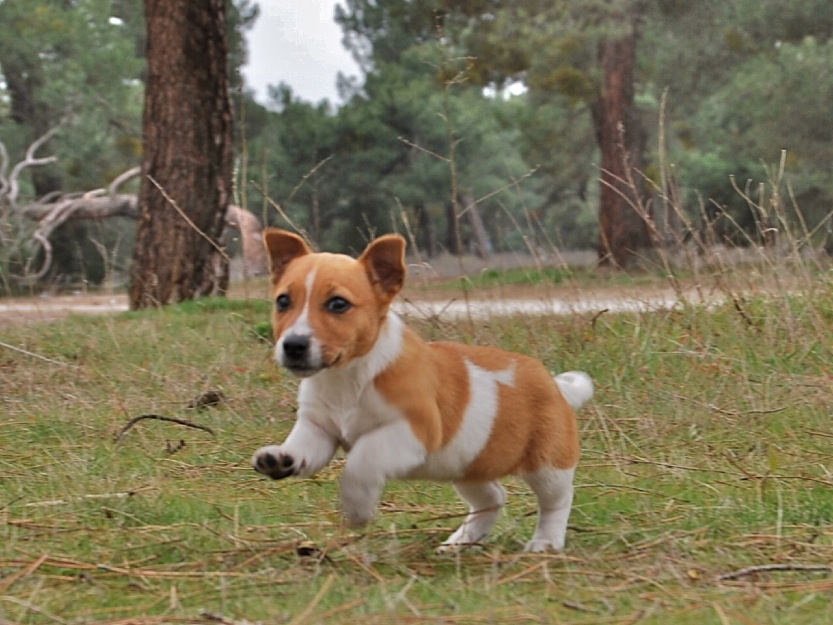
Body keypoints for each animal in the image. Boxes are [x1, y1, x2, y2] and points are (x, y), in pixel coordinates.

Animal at [249, 229, 592, 552]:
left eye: (338, 304)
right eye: (283, 301)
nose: (293, 345)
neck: (347, 378)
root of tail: (557, 387)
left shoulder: (414, 430)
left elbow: (362, 460)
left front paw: (357, 508)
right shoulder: (319, 429)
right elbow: (302, 446)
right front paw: (281, 458)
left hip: (548, 467)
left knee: (557, 501)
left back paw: (545, 542)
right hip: (469, 468)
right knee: (492, 499)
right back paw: (460, 542)